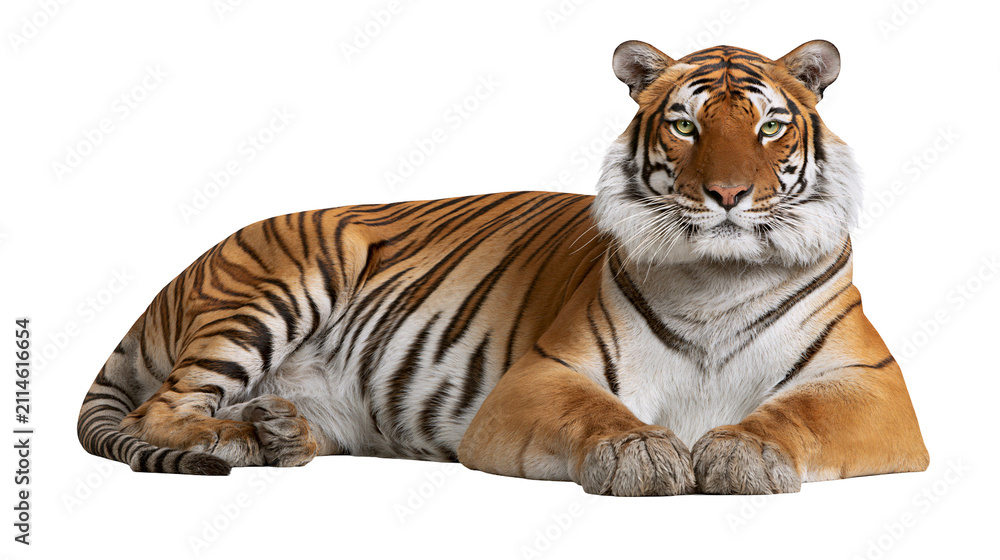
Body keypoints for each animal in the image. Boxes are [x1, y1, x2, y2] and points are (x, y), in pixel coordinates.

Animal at [78, 39, 929, 496]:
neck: (717, 277)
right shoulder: (538, 377)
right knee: (159, 409)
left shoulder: (874, 387)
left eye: (770, 126)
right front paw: (643, 454)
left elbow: (798, 413)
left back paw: (279, 431)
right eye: (686, 126)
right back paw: (234, 438)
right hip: (280, 288)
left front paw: (742, 451)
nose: (726, 195)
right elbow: (598, 413)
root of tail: (177, 276)